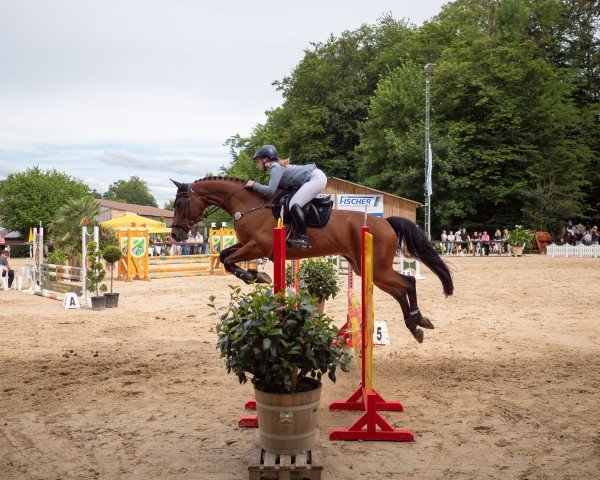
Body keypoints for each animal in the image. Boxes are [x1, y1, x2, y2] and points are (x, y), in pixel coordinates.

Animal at [171, 176, 452, 342]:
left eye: (180, 204)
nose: (175, 234)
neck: (248, 204)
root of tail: (386, 222)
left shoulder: (258, 246)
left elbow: (229, 261)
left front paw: (256, 276)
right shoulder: (248, 245)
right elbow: (224, 256)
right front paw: (255, 275)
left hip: (378, 268)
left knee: (408, 283)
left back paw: (418, 319)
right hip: (366, 269)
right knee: (399, 291)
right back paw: (416, 326)